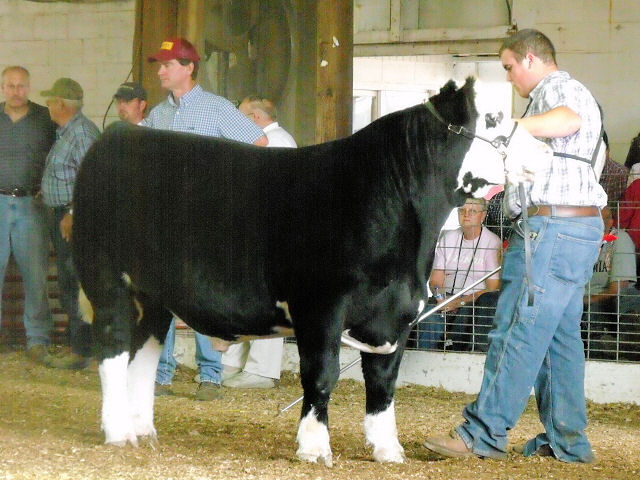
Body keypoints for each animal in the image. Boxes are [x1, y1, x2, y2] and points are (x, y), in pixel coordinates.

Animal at [71, 78, 551, 466]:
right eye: (494, 118)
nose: (548, 151)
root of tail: (120, 134)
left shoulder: (399, 313)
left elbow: (383, 384)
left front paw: (388, 450)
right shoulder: (320, 306)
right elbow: (321, 375)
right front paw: (315, 447)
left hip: (153, 296)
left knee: (143, 354)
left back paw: (143, 432)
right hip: (107, 281)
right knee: (113, 349)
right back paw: (118, 432)